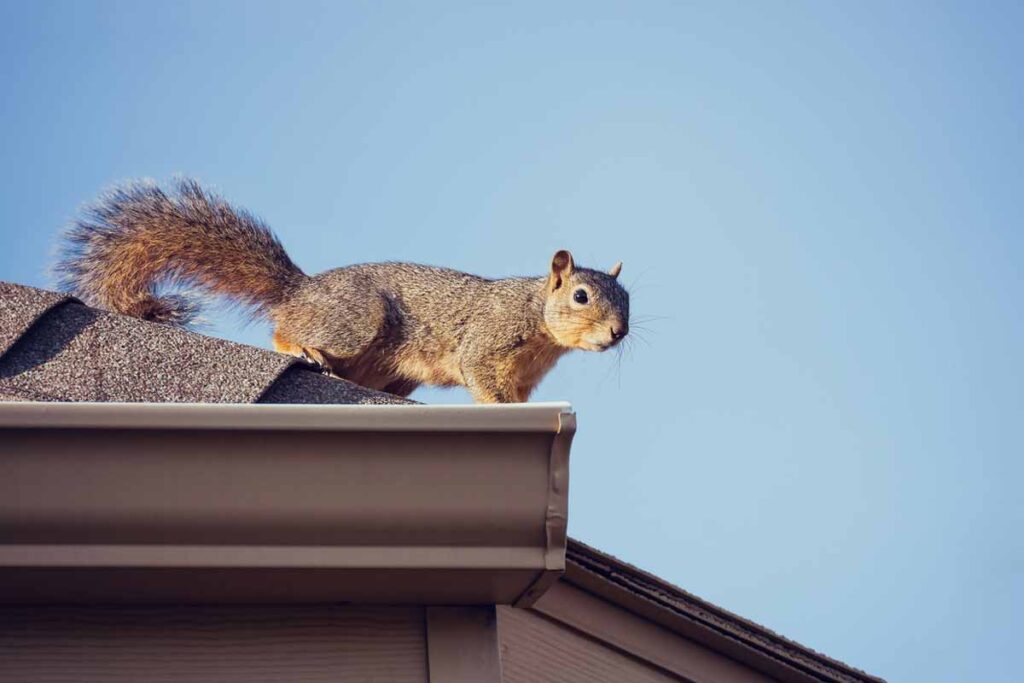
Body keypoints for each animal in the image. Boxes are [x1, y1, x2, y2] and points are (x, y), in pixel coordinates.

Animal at [56, 179, 630, 403]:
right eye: (581, 296)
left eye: (628, 301)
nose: (618, 333)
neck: (538, 320)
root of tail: (303, 290)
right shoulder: (487, 341)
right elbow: (482, 378)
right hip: (355, 321)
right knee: (284, 329)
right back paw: (302, 347)